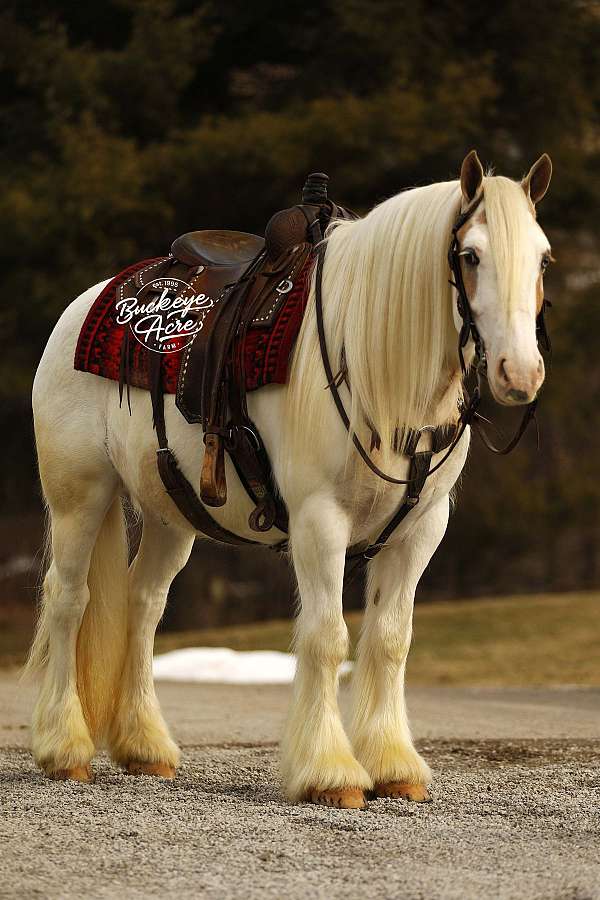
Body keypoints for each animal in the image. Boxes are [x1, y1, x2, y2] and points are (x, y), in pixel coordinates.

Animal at [26, 150, 553, 808]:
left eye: (543, 257)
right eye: (472, 255)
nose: (520, 373)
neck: (372, 361)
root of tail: (89, 303)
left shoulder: (421, 529)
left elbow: (389, 639)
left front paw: (394, 766)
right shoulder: (319, 520)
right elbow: (327, 637)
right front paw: (329, 771)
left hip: (172, 513)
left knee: (143, 605)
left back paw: (145, 747)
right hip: (81, 495)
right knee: (69, 600)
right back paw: (64, 747)